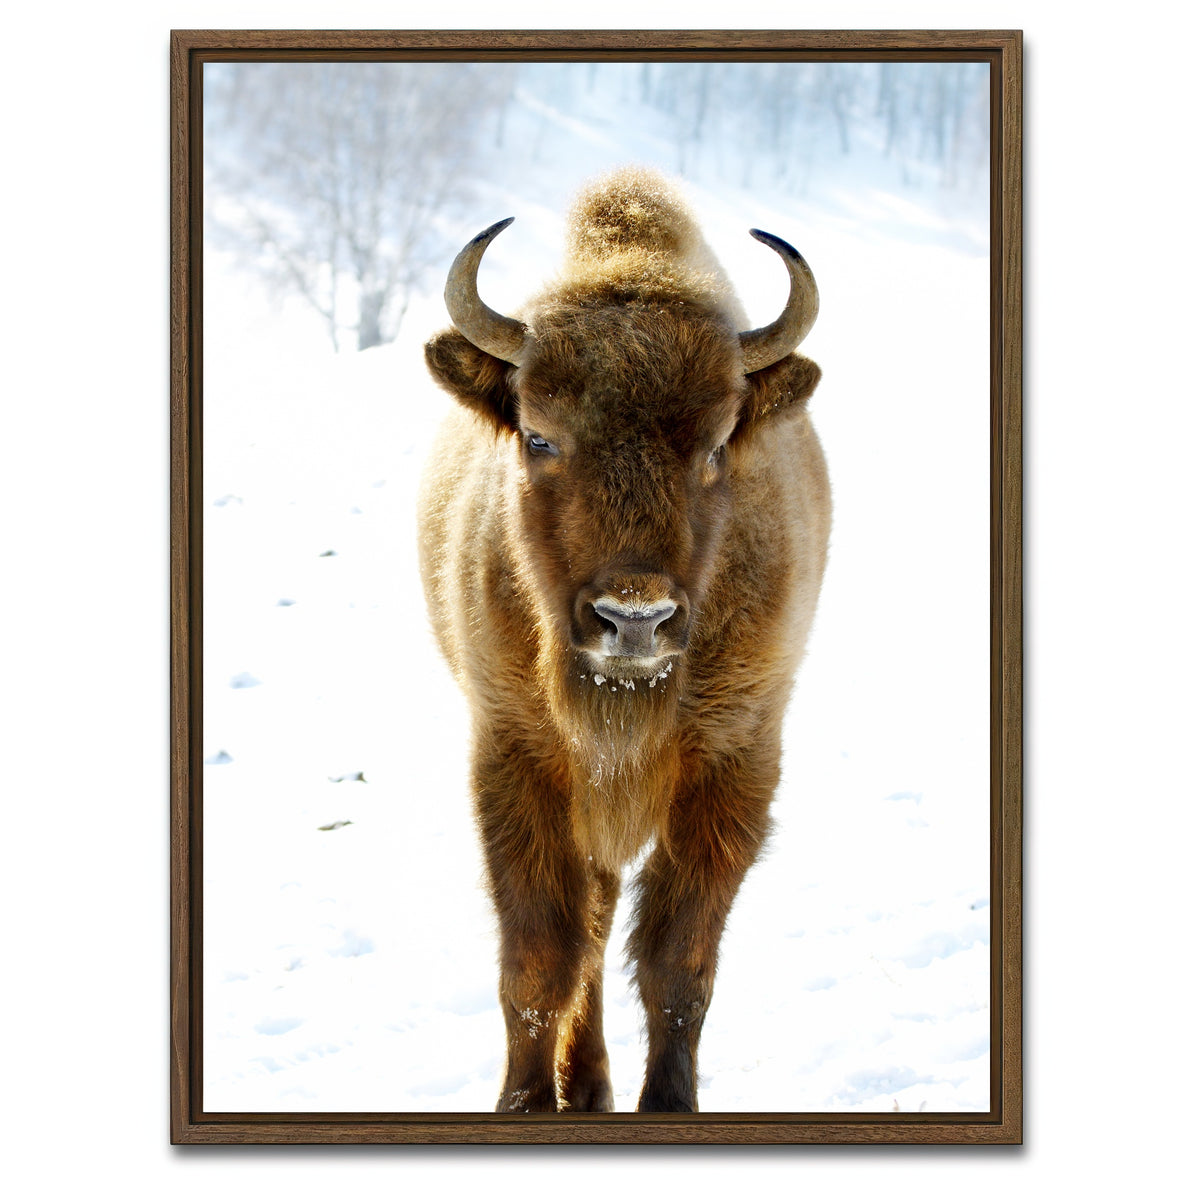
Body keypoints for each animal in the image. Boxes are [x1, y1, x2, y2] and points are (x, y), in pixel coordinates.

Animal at [418, 168, 830, 1113]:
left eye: (717, 445)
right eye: (538, 435)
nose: (633, 617)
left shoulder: (733, 764)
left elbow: (679, 965)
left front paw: (667, 1106)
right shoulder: (519, 757)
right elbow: (540, 960)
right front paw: (526, 1106)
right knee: (591, 932)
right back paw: (588, 1084)